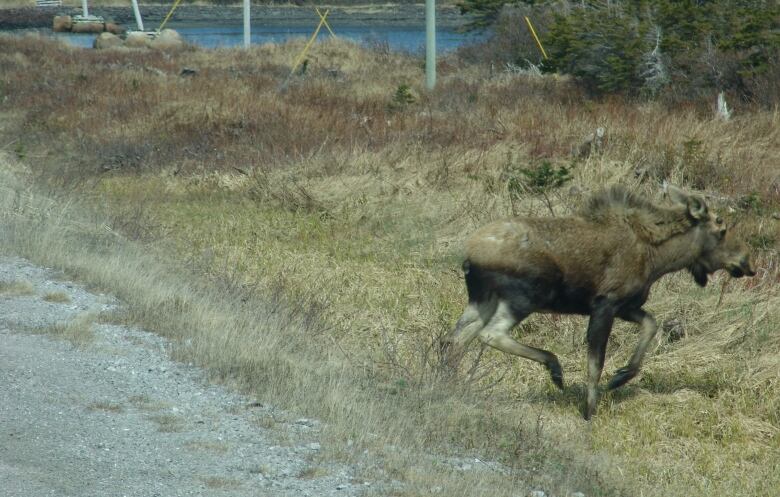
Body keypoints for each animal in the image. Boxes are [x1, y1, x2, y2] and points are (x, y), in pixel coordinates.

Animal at [444, 186, 756, 418]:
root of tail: (469, 254)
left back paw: (450, 382)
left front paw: (621, 376)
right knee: (489, 334)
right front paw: (589, 409)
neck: (659, 259)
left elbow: (651, 324)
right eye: (721, 229)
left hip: (482, 298)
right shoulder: (605, 303)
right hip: (525, 296)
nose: (747, 263)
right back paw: (554, 368)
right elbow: (596, 362)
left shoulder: (626, 306)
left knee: (456, 338)